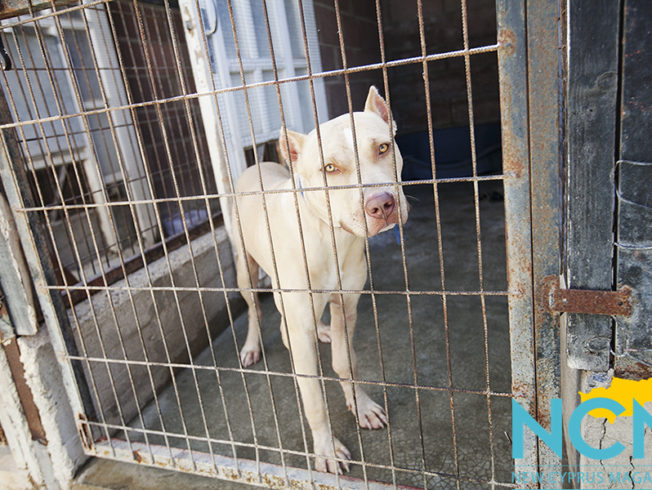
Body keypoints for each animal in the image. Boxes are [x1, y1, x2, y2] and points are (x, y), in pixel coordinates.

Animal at [233, 86, 408, 472]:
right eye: (330, 168)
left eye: (383, 147)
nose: (382, 204)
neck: (330, 236)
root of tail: (257, 164)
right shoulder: (299, 331)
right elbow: (312, 397)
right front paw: (326, 450)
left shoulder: (347, 306)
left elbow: (347, 361)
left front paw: (361, 405)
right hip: (244, 269)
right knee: (256, 310)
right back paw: (252, 345)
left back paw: (322, 331)